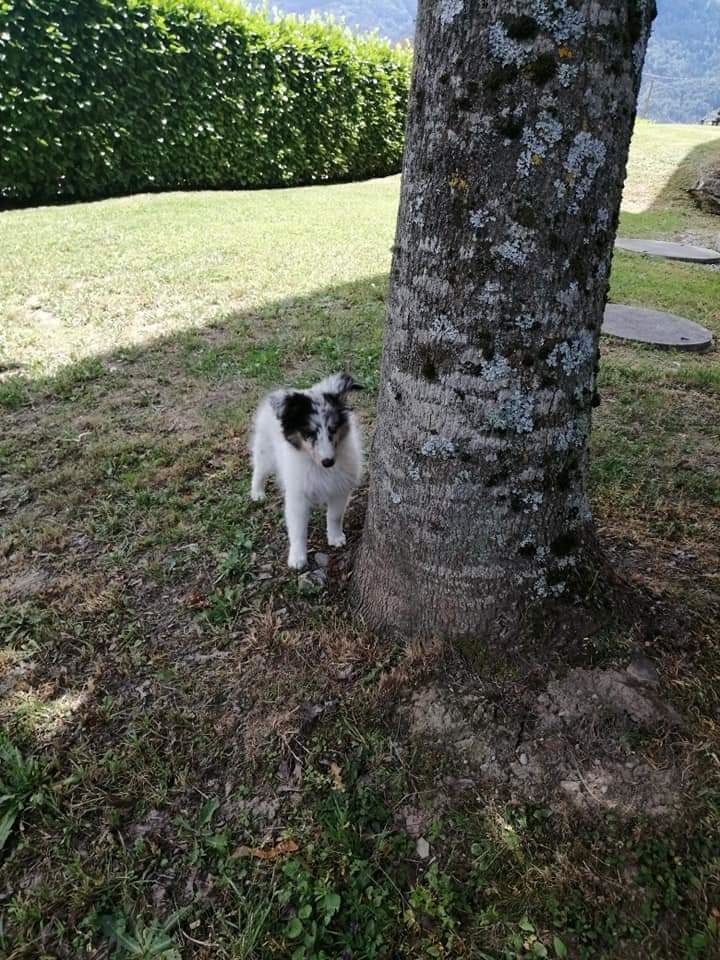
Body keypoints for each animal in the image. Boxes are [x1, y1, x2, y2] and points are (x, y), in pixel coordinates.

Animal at [253, 374, 366, 568]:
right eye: (309, 433)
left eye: (333, 429)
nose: (328, 462)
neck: (319, 467)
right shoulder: (297, 496)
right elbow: (298, 529)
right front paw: (297, 558)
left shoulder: (339, 489)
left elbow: (335, 516)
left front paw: (335, 537)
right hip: (265, 450)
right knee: (258, 470)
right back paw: (257, 493)